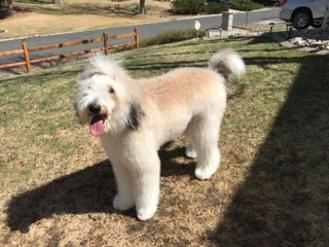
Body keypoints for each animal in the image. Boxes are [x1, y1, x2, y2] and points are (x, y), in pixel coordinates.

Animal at [73, 49, 243, 220]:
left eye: (111, 90)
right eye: (88, 89)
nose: (94, 107)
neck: (124, 122)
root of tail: (212, 72)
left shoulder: (144, 163)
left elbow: (145, 189)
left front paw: (145, 211)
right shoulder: (120, 163)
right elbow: (124, 185)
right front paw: (123, 202)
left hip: (206, 122)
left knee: (209, 149)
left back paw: (205, 170)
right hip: (191, 122)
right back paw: (192, 152)